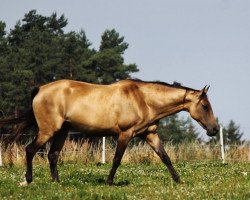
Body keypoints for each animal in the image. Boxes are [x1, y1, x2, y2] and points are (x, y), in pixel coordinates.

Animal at [0, 79, 219, 185]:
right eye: (205, 106)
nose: (214, 129)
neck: (144, 100)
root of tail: (40, 90)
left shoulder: (150, 134)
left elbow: (165, 157)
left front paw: (179, 181)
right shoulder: (125, 134)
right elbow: (116, 159)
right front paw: (109, 182)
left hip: (62, 131)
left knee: (53, 155)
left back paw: (56, 183)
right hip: (48, 130)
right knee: (30, 150)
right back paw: (29, 179)